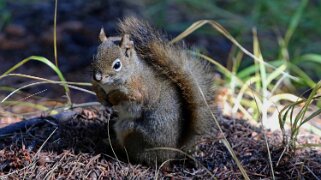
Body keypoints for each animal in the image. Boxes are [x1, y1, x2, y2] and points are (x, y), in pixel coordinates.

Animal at [90, 17, 215, 166]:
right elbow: (98, 91)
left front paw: (114, 97)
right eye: (94, 56)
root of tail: (172, 152)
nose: (97, 77)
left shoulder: (140, 88)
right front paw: (101, 95)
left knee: (131, 152)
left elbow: (131, 96)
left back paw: (112, 144)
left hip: (132, 131)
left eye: (117, 65)